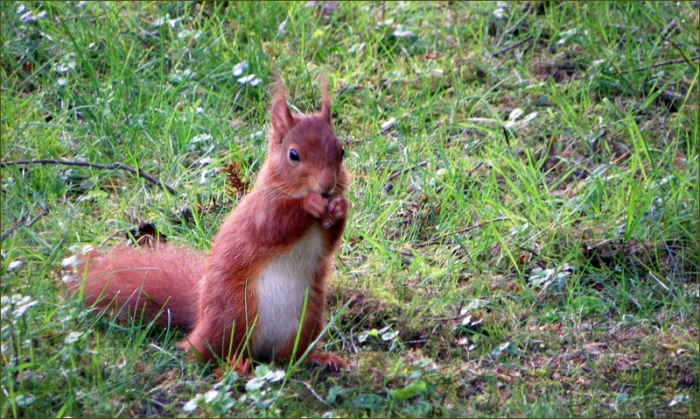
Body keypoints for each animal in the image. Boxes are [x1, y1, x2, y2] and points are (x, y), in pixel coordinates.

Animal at [67, 77, 351, 374]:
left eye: (341, 150)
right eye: (293, 154)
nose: (327, 186)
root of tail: (200, 322)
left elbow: (329, 241)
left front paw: (341, 206)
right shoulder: (261, 213)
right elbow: (275, 226)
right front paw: (310, 203)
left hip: (308, 318)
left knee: (288, 358)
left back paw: (319, 359)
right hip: (235, 313)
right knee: (210, 354)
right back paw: (235, 366)